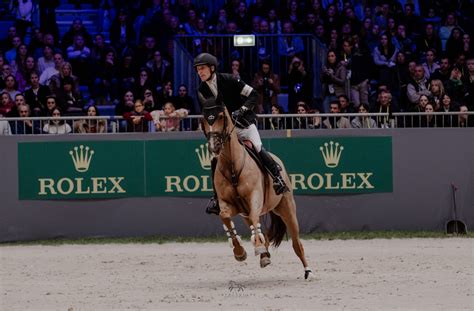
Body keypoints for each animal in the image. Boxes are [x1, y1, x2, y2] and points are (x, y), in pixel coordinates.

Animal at [201, 102, 314, 280]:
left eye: (221, 116)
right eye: (204, 119)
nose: (214, 146)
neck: (232, 165)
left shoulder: (254, 197)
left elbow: (255, 216)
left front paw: (257, 248)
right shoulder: (228, 204)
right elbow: (225, 216)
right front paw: (239, 252)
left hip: (287, 208)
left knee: (297, 243)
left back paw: (308, 271)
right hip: (245, 214)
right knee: (262, 233)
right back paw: (264, 256)